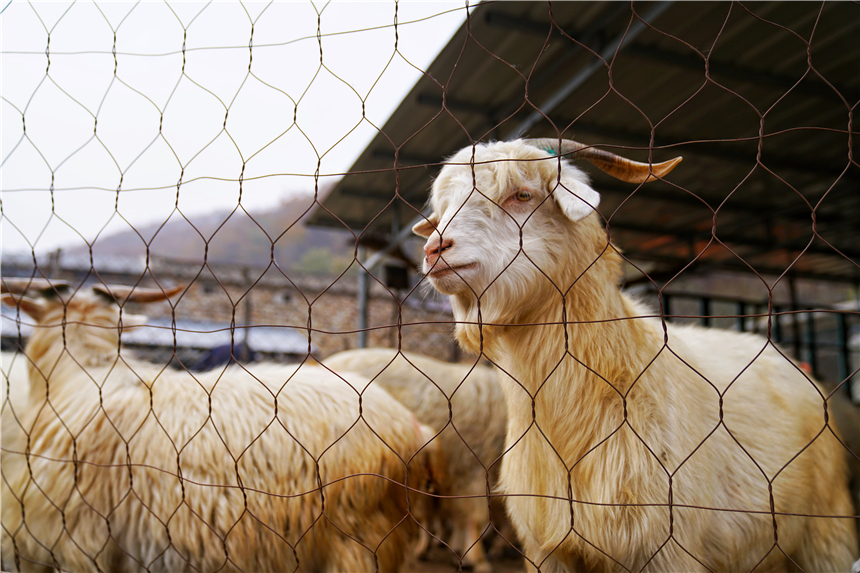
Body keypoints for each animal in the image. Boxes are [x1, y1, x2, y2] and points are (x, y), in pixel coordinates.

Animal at [414, 140, 856, 572]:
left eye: (522, 195)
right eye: (442, 209)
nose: (435, 249)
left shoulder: (667, 549)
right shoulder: (548, 550)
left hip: (826, 531)